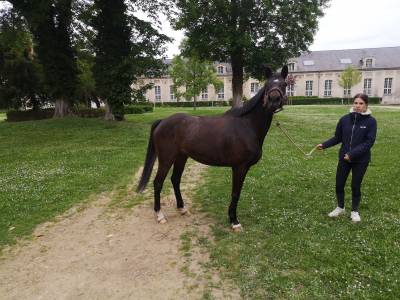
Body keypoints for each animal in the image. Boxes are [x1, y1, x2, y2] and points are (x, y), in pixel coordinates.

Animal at [138, 65, 288, 230]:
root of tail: (163, 121)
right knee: (158, 183)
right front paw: (234, 221)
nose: (274, 100)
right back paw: (160, 215)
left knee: (175, 180)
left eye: (284, 84)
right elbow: (235, 193)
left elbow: (236, 192)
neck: (247, 125)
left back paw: (182, 208)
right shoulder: (239, 167)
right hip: (166, 158)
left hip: (181, 157)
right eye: (267, 85)